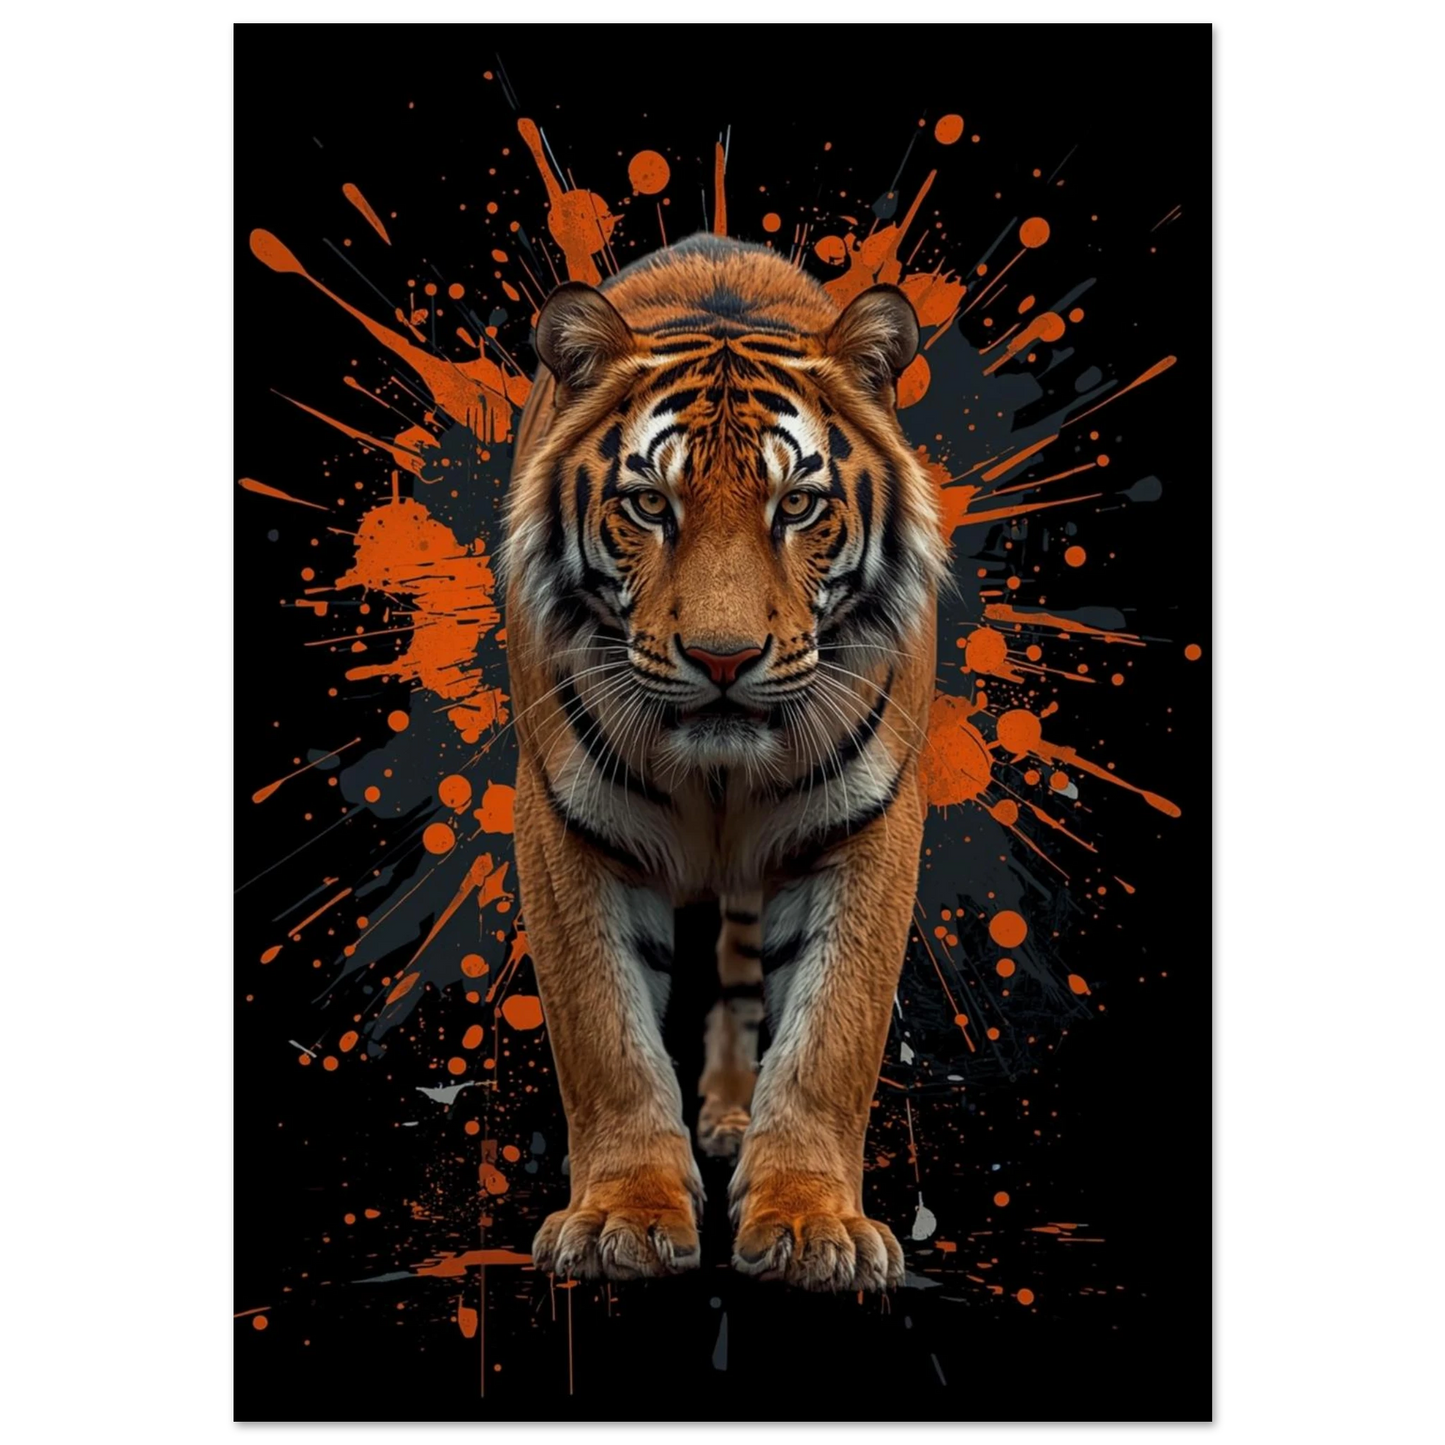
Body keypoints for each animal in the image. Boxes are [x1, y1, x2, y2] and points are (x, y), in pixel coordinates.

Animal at [502, 232, 947, 1292]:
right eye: (647, 505)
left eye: (799, 505)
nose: (721, 657)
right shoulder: (561, 821)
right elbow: (604, 1031)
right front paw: (619, 1218)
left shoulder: (871, 820)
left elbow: (830, 1035)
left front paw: (811, 1224)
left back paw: (738, 1120)